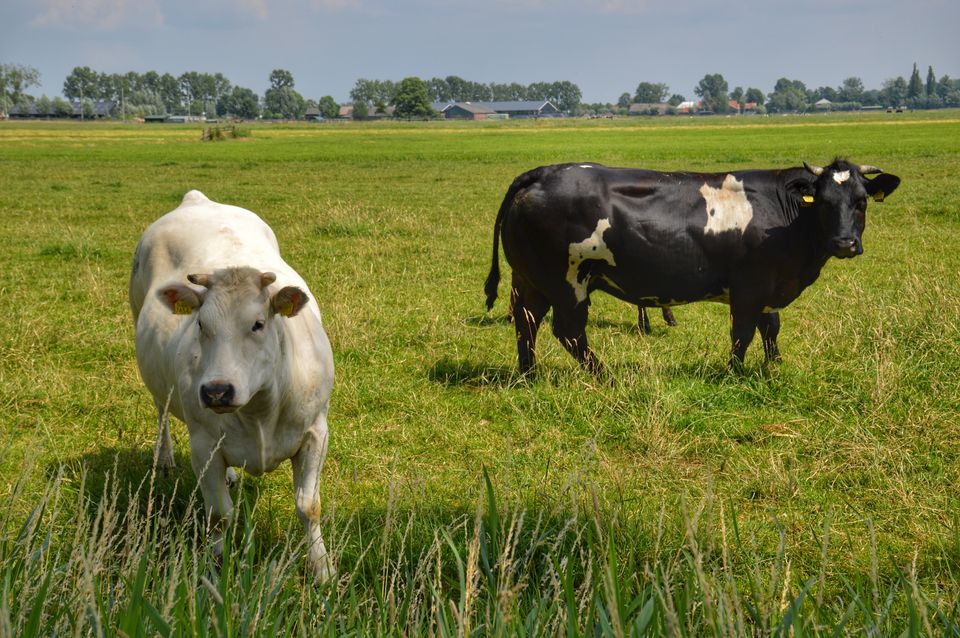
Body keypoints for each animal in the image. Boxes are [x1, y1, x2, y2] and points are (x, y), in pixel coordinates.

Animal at [129, 190, 335, 582]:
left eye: (257, 324)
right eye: (200, 325)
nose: (216, 391)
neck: (260, 411)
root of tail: (197, 200)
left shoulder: (316, 433)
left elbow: (309, 506)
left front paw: (322, 569)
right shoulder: (202, 444)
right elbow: (218, 516)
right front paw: (217, 569)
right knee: (161, 411)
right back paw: (164, 460)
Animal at [484, 159, 900, 375]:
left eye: (861, 201)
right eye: (825, 202)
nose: (844, 243)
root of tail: (544, 172)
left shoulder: (770, 287)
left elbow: (771, 328)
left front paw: (775, 366)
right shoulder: (749, 288)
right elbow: (743, 333)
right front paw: (735, 373)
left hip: (531, 278)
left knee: (526, 321)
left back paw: (529, 374)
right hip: (569, 281)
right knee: (568, 331)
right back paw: (605, 376)